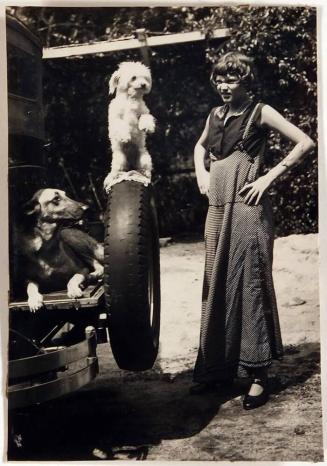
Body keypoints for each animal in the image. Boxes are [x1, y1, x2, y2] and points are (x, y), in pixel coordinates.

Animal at [104, 61, 157, 190]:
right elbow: (121, 126)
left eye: (145, 78)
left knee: (145, 170)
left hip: (144, 159)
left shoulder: (143, 112)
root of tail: (131, 164)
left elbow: (145, 117)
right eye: (133, 77)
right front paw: (125, 137)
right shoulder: (116, 119)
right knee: (117, 171)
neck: (130, 99)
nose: (144, 84)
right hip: (119, 160)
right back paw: (114, 176)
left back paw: (144, 173)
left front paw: (148, 127)